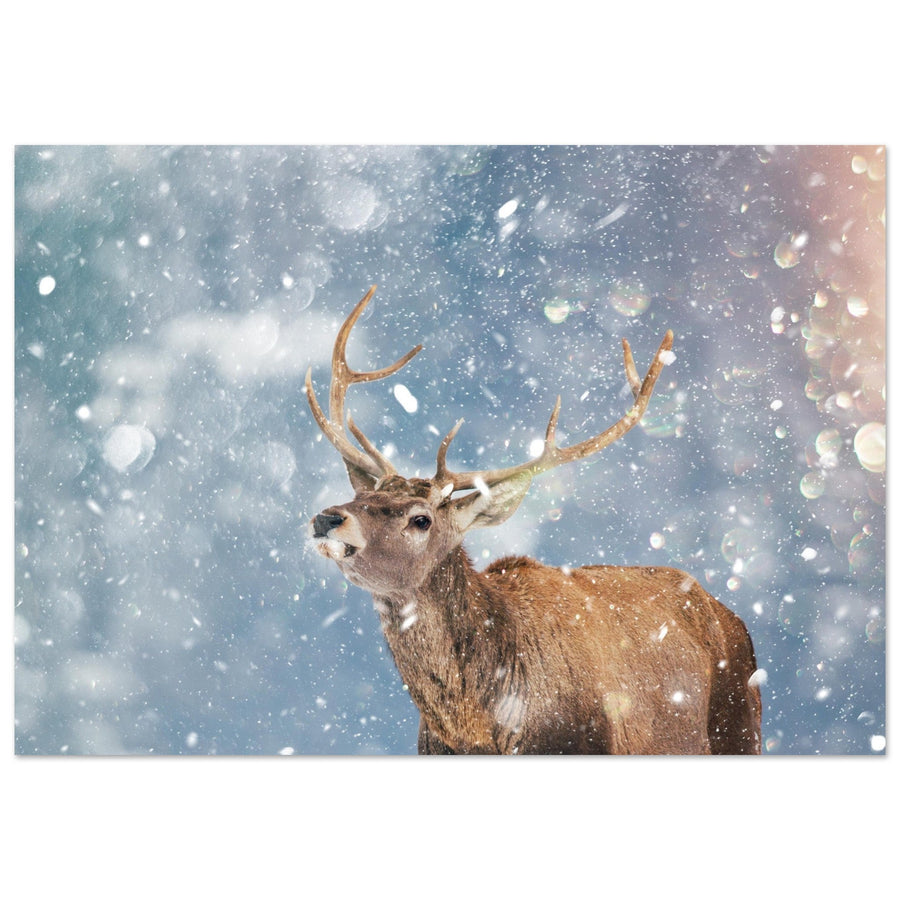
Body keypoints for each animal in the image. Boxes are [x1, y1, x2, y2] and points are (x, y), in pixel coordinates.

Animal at [305, 286, 762, 754]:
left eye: (421, 520)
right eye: (362, 495)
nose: (328, 517)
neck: (484, 731)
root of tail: (731, 616)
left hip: (741, 729)